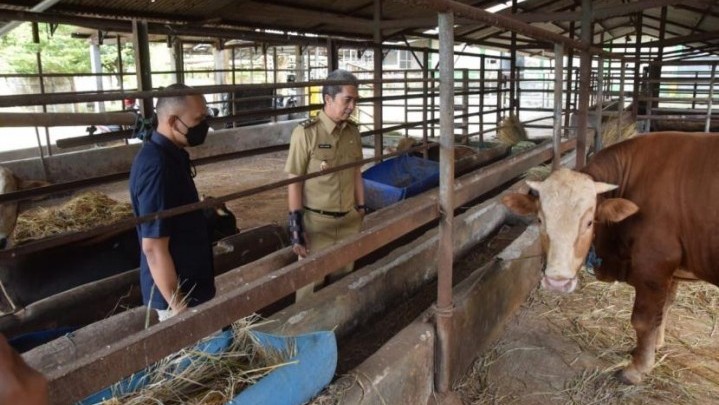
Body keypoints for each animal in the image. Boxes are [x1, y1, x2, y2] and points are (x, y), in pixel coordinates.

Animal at [504, 133, 719, 386]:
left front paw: (637, 369)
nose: (557, 282)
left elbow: (644, 320)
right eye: (539, 219)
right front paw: (654, 346)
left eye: (589, 222)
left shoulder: (654, 265)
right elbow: (665, 308)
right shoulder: (672, 270)